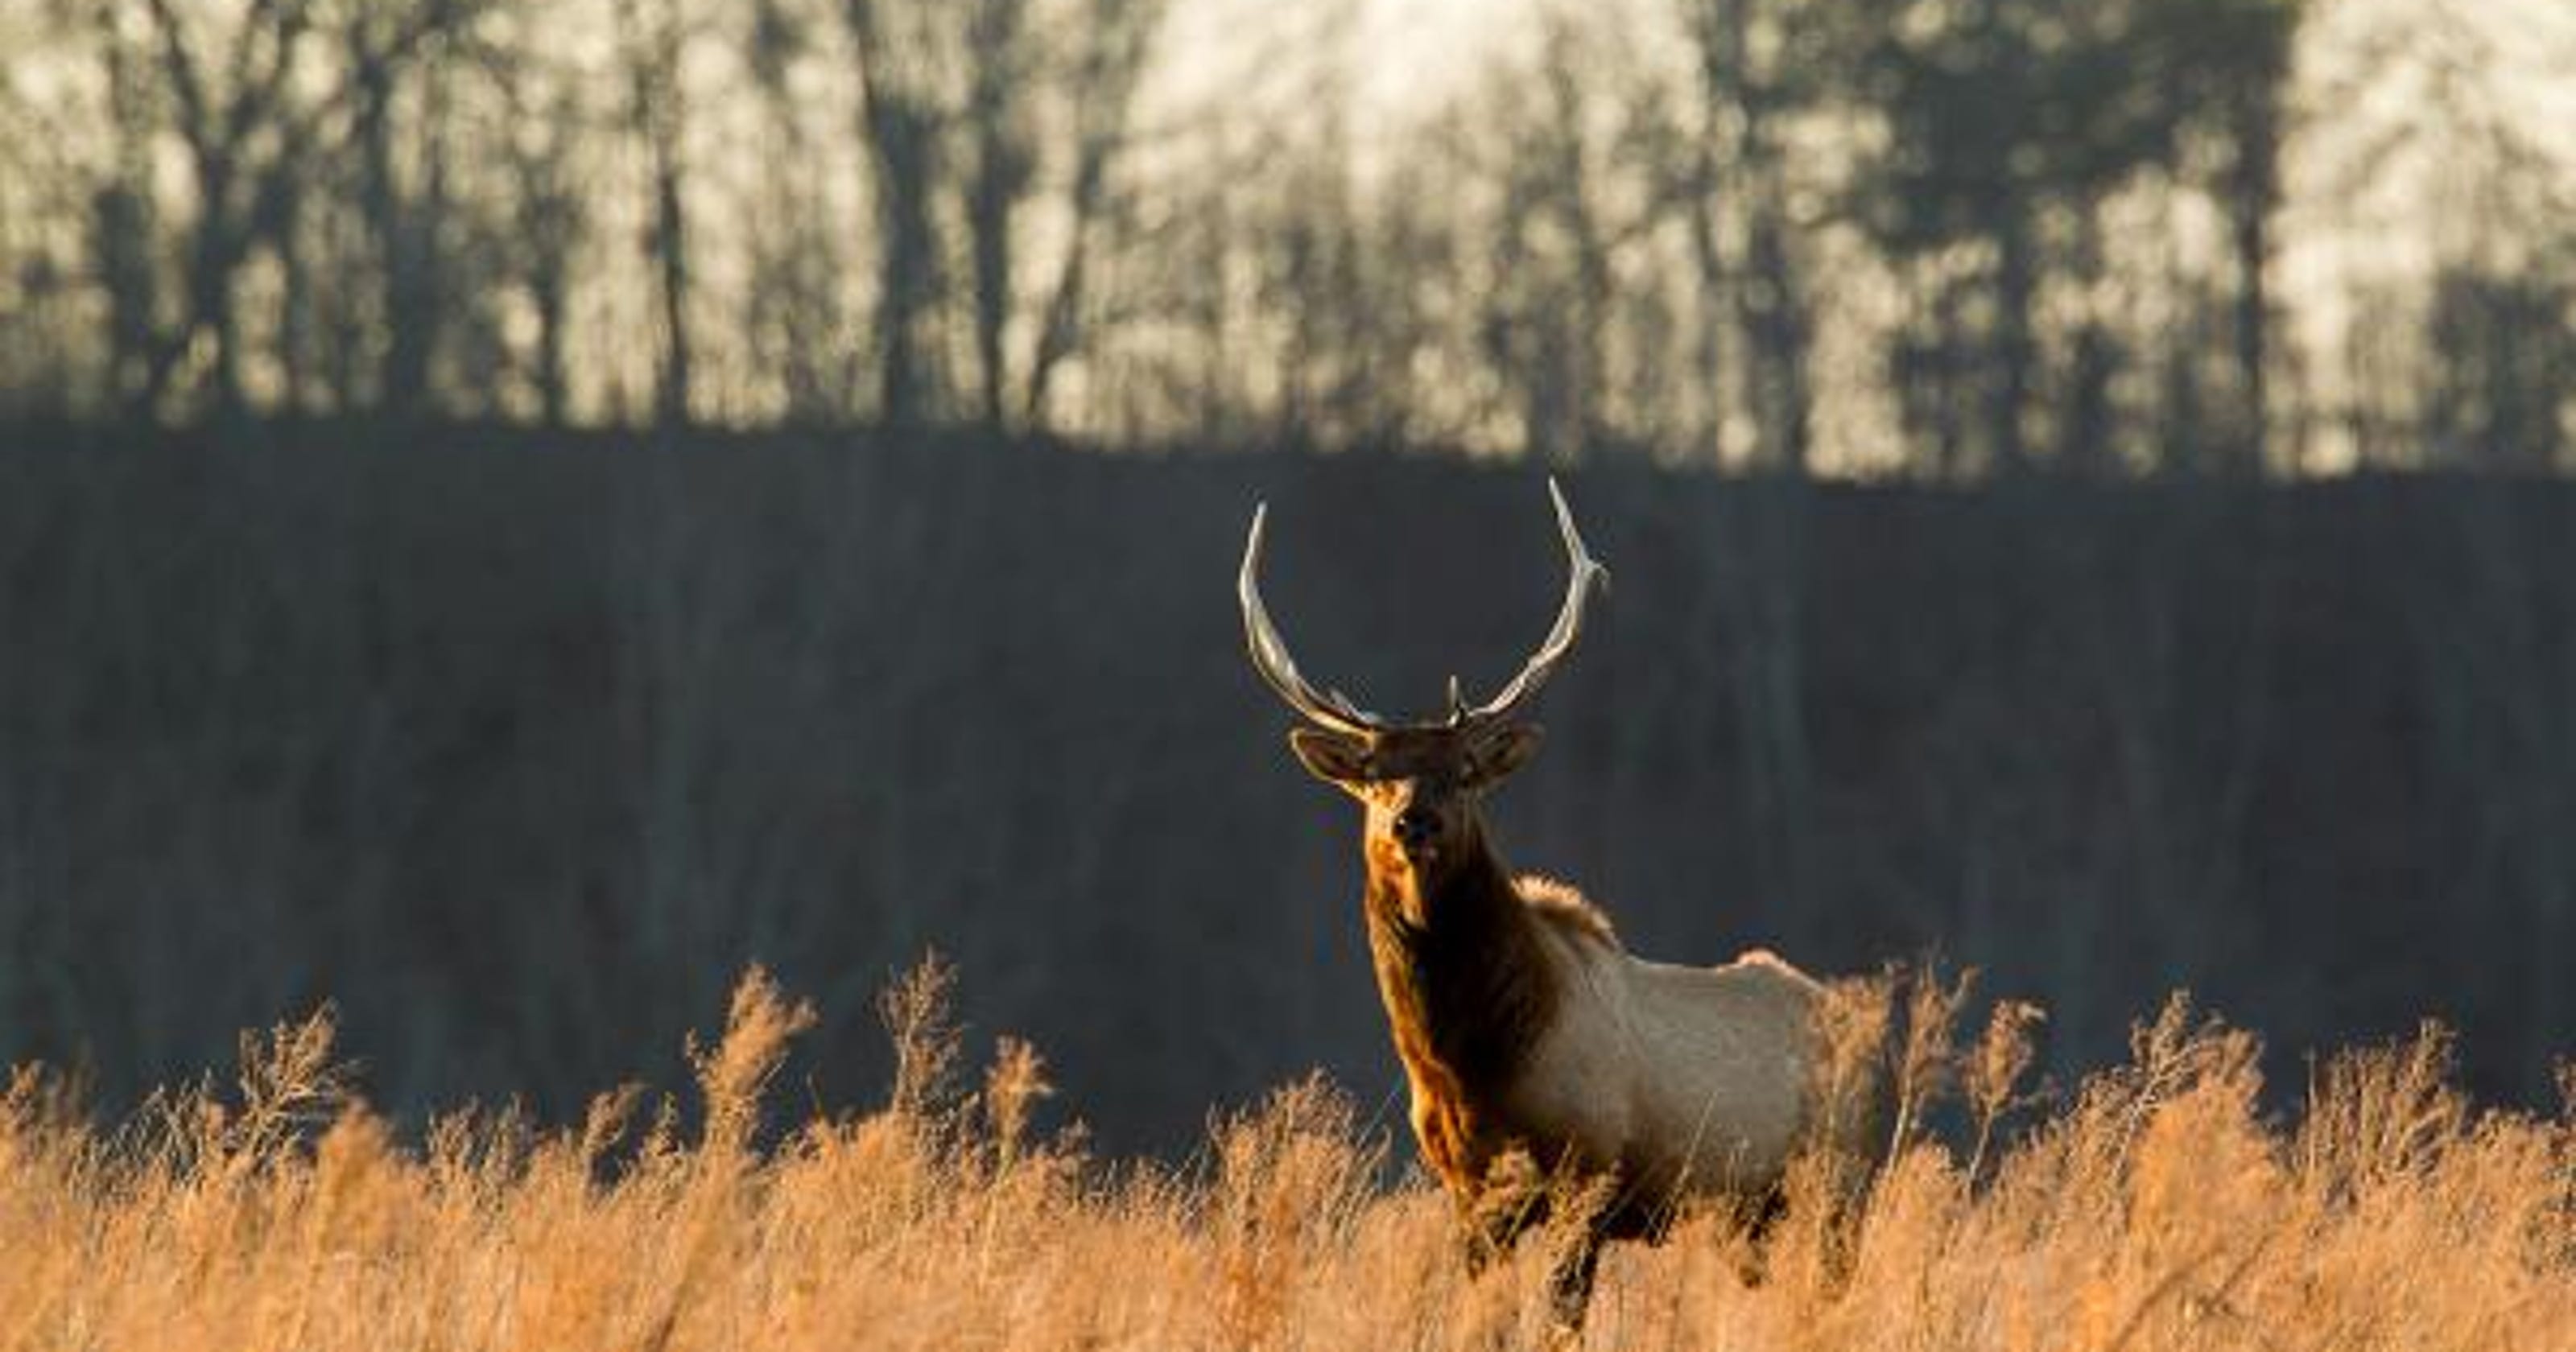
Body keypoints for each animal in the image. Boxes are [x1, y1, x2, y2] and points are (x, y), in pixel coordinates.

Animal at [1238, 480, 1876, 1329]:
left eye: (1465, 772)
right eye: (1374, 778)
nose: (1413, 821)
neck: (1472, 1063)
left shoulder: (1590, 1170)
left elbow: (1559, 1318)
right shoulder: (1468, 1191)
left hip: (1837, 1186)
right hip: (1755, 1217)